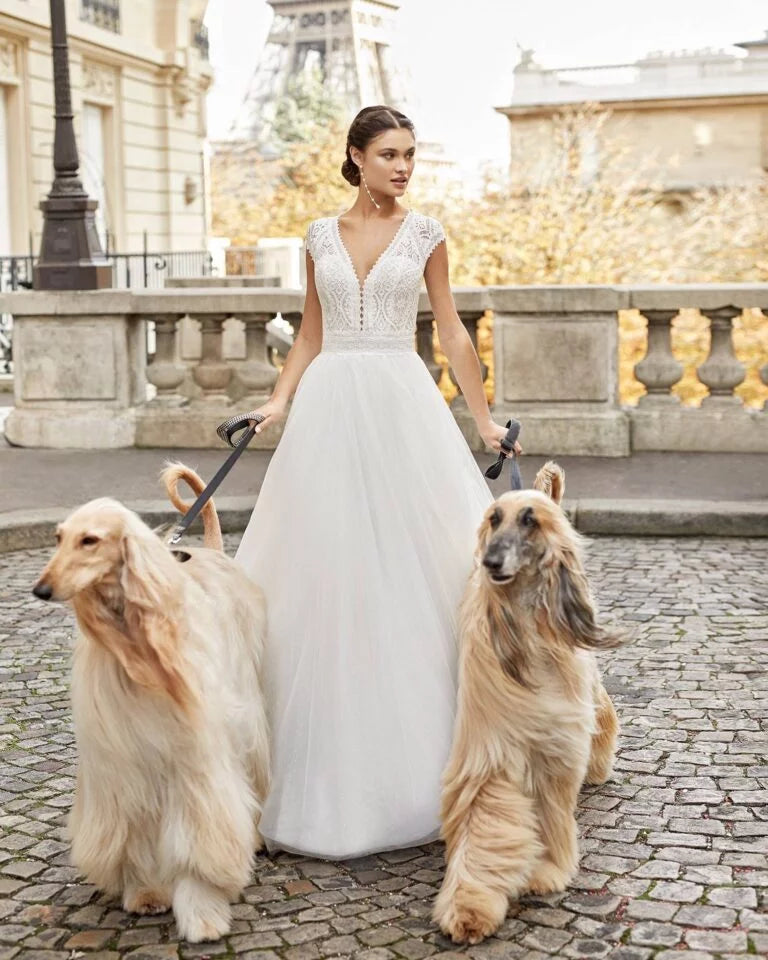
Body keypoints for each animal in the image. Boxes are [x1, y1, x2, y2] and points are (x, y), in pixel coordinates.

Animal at [32, 466, 270, 944]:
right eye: (58, 537)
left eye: (90, 540)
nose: (40, 589)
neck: (137, 644)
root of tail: (212, 552)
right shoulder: (127, 762)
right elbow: (136, 832)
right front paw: (146, 893)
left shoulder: (194, 757)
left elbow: (200, 831)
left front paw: (201, 910)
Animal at [436, 464, 620, 944]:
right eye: (493, 519)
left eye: (529, 520)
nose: (490, 563)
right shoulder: (491, 750)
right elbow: (486, 821)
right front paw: (470, 905)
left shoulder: (558, 749)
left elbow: (554, 814)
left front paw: (548, 869)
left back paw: (600, 764)